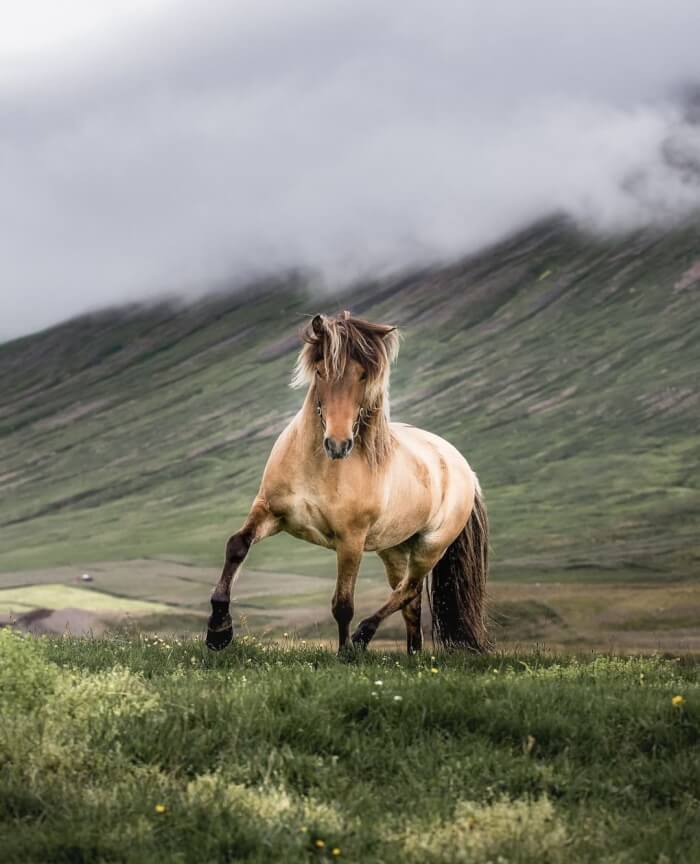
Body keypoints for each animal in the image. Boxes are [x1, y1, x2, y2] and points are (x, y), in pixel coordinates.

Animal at [205, 310, 490, 656]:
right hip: (394, 549)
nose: (338, 444)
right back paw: (412, 654)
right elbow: (236, 546)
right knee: (409, 600)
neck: (319, 467)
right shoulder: (271, 512)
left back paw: (362, 638)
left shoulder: (350, 540)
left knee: (407, 590)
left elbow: (343, 603)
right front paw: (218, 630)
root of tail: (464, 469)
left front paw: (343, 654)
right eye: (320, 371)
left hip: (430, 546)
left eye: (364, 375)